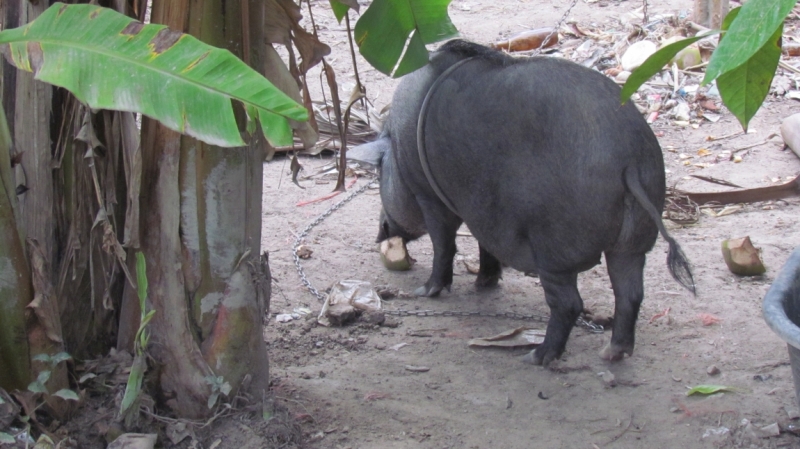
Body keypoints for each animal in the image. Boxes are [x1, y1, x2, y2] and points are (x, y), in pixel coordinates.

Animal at [350, 40, 692, 366]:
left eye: (379, 172)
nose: (380, 233)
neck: (398, 149)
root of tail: (628, 161)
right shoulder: (485, 213)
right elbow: (485, 247)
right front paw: (483, 284)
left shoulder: (431, 198)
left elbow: (443, 246)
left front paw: (425, 292)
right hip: (633, 243)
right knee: (630, 294)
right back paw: (612, 353)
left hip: (555, 248)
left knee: (569, 304)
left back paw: (537, 357)